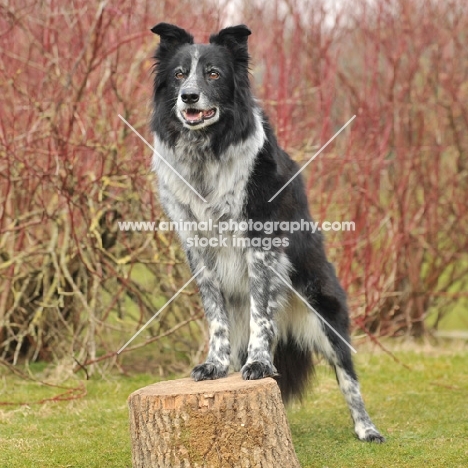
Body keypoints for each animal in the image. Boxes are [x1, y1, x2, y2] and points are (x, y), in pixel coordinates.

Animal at [150, 22, 384, 442]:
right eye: (178, 74)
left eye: (214, 73)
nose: (188, 96)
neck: (207, 153)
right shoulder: (198, 249)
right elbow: (215, 317)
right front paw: (214, 365)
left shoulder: (262, 242)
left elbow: (261, 311)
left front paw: (258, 364)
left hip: (324, 310)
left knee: (348, 377)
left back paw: (367, 429)